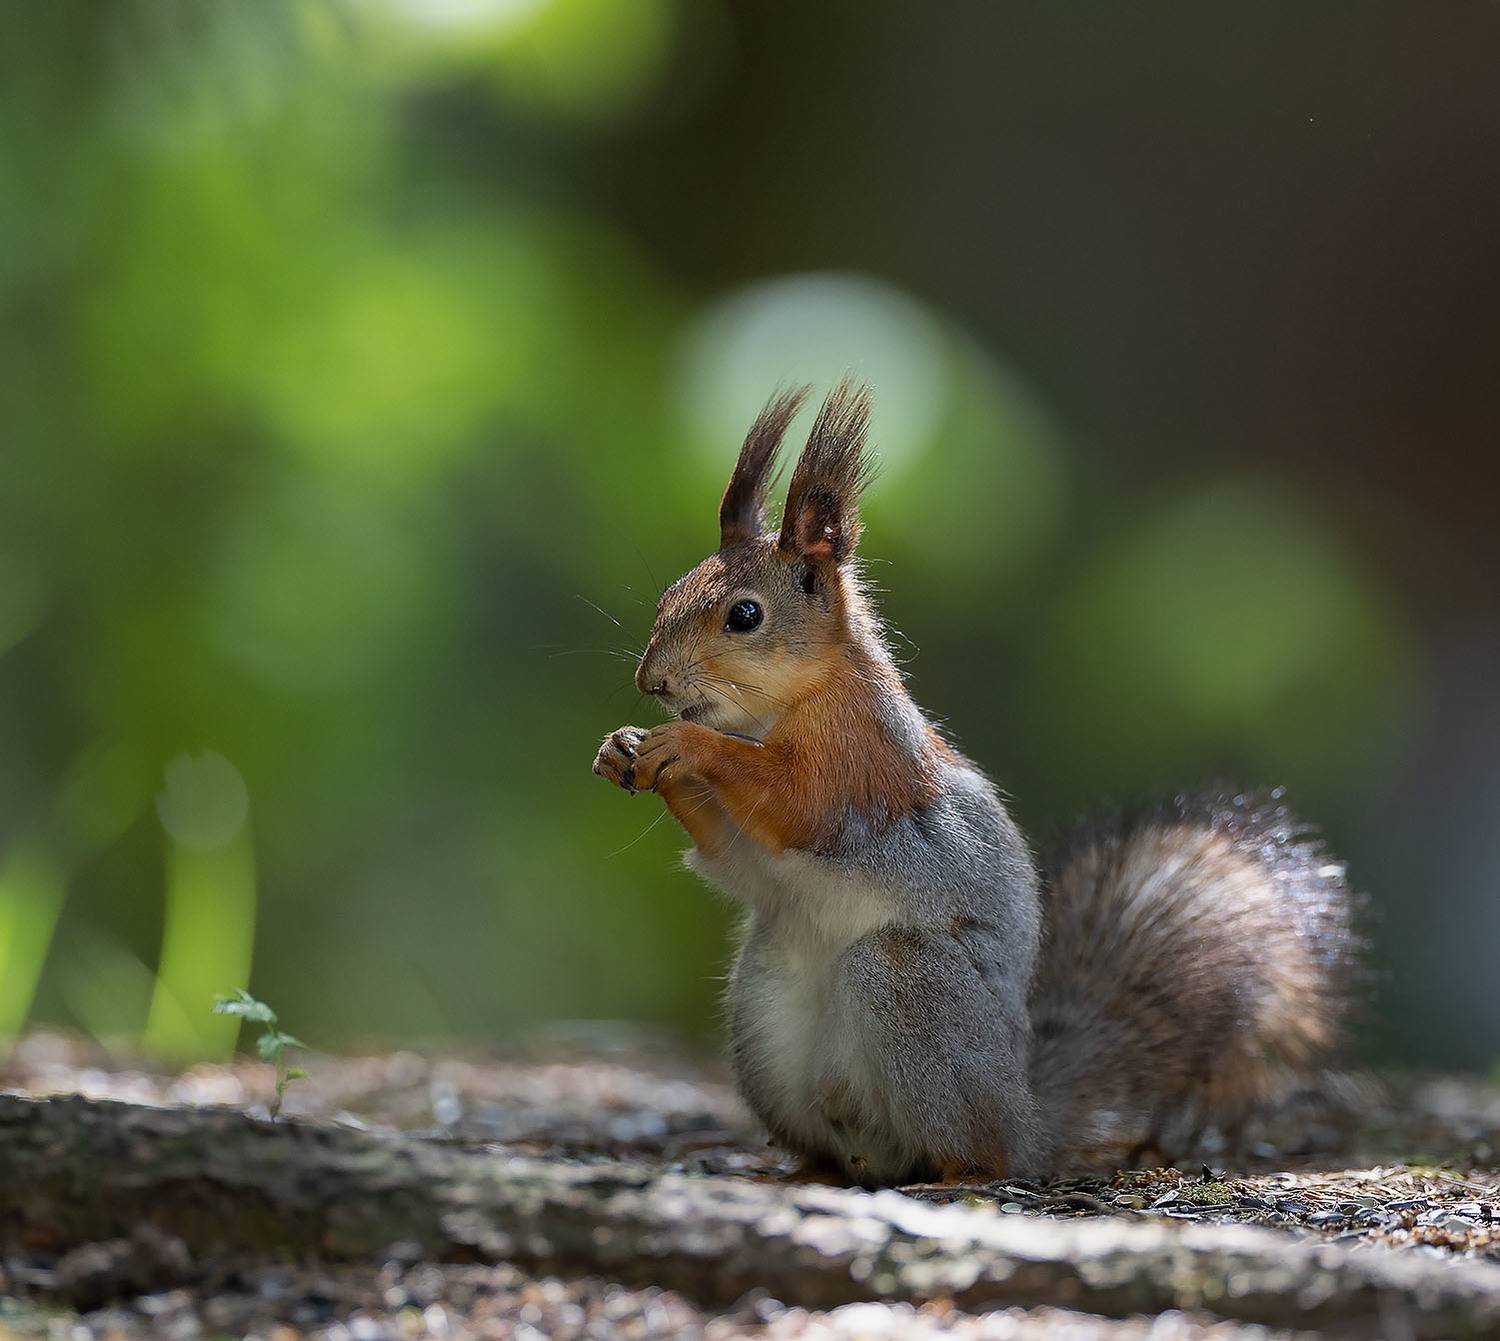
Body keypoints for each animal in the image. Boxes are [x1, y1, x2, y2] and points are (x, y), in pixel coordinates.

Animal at [591, 380, 1360, 1186]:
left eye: (745, 614)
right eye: (667, 595)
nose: (652, 682)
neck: (786, 704)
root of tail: (1026, 1114)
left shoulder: (859, 764)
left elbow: (798, 804)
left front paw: (685, 744)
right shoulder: (758, 849)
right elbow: (735, 855)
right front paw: (623, 749)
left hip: (911, 985)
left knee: (973, 1145)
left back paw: (961, 1172)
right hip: (764, 1003)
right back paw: (810, 1168)